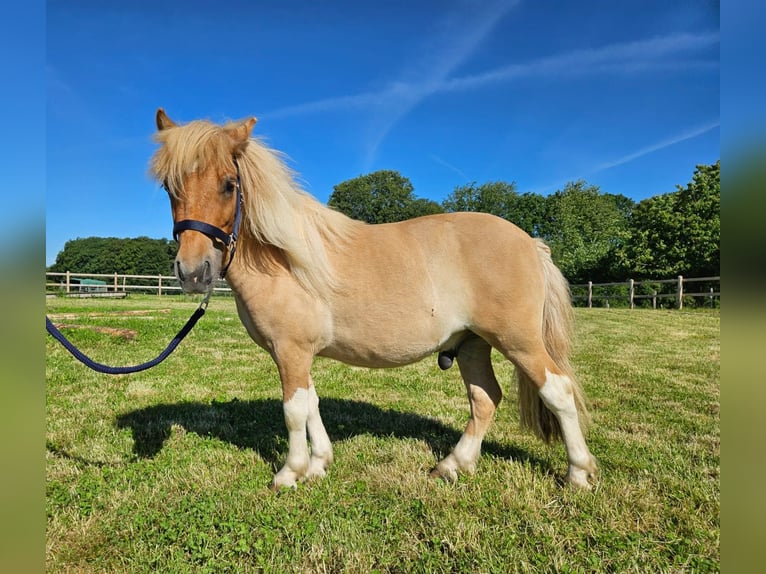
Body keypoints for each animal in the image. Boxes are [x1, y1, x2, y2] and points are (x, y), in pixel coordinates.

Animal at [150, 108, 597, 490]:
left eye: (229, 184)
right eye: (170, 187)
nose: (193, 272)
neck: (284, 258)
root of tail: (531, 243)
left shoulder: (290, 350)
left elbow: (294, 410)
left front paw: (290, 473)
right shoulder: (301, 354)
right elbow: (312, 404)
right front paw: (319, 464)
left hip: (518, 340)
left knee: (557, 390)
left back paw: (578, 473)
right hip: (473, 344)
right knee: (485, 399)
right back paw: (453, 465)